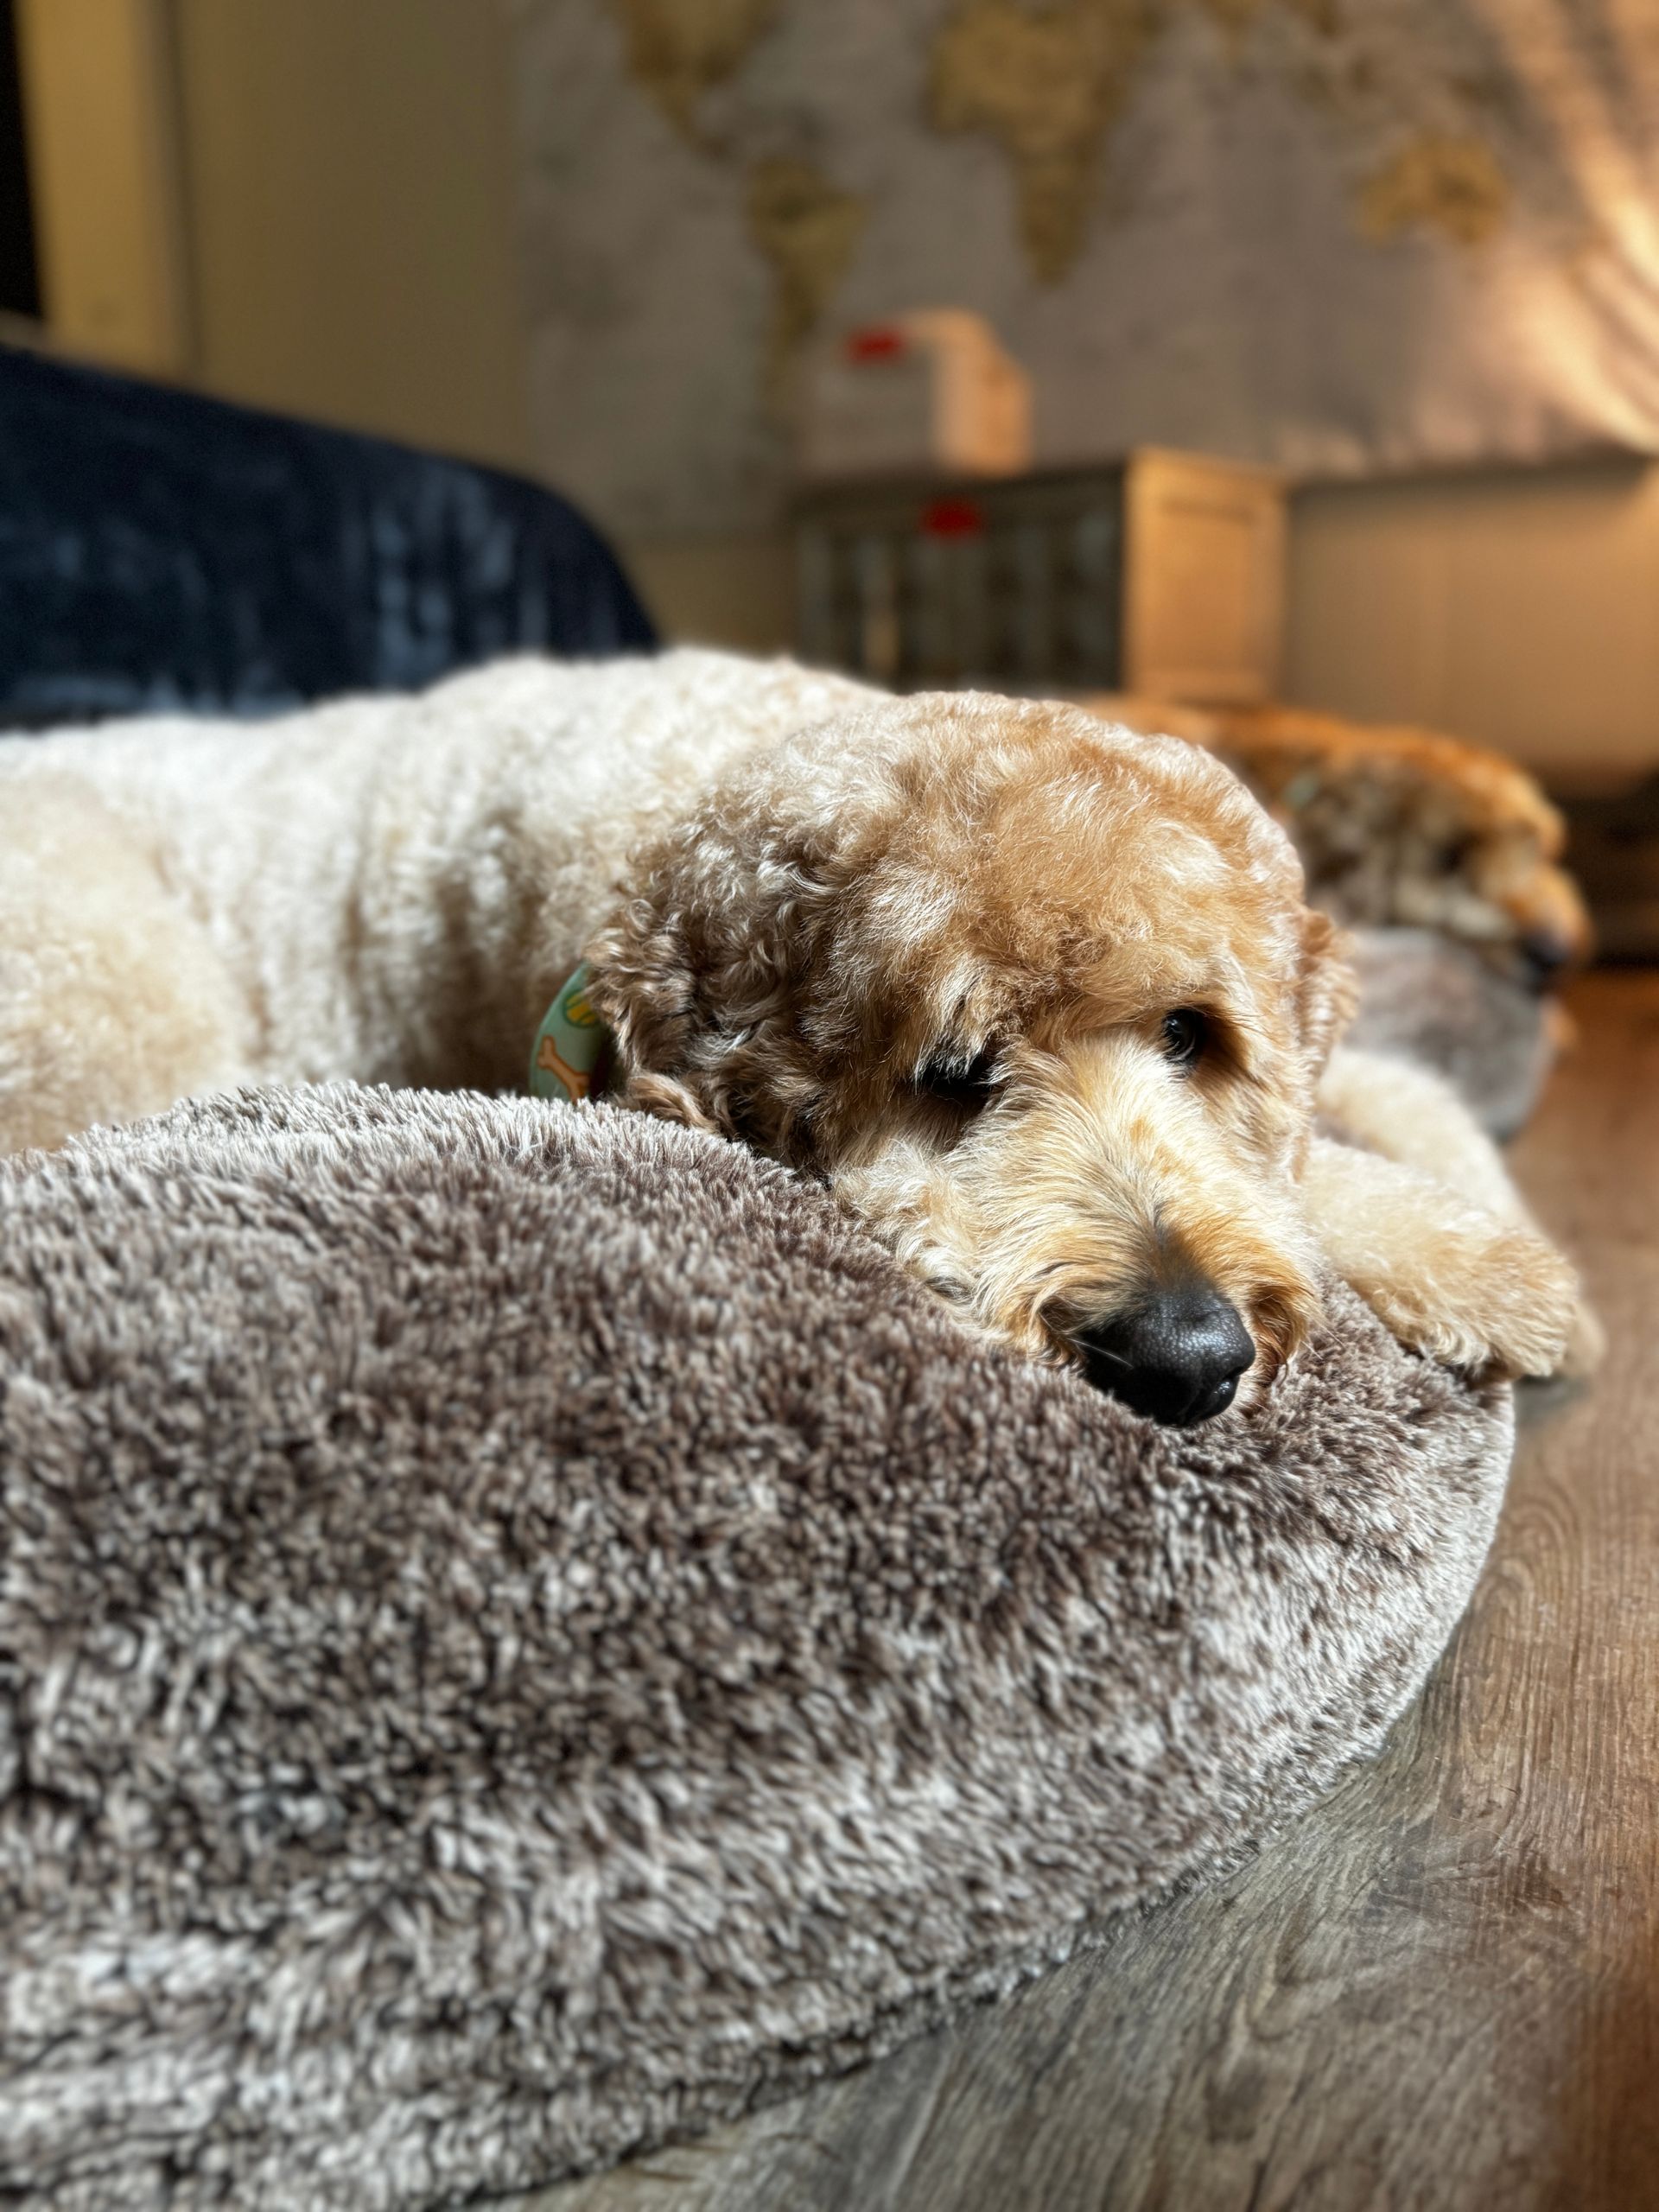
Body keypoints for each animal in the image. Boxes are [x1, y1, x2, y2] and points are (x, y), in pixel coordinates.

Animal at [0, 645, 1592, 1424]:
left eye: (1194, 1036)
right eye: (951, 1074)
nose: (1187, 1355)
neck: (700, 768)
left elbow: (1370, 1101)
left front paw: (1492, 1238)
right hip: (117, 984)